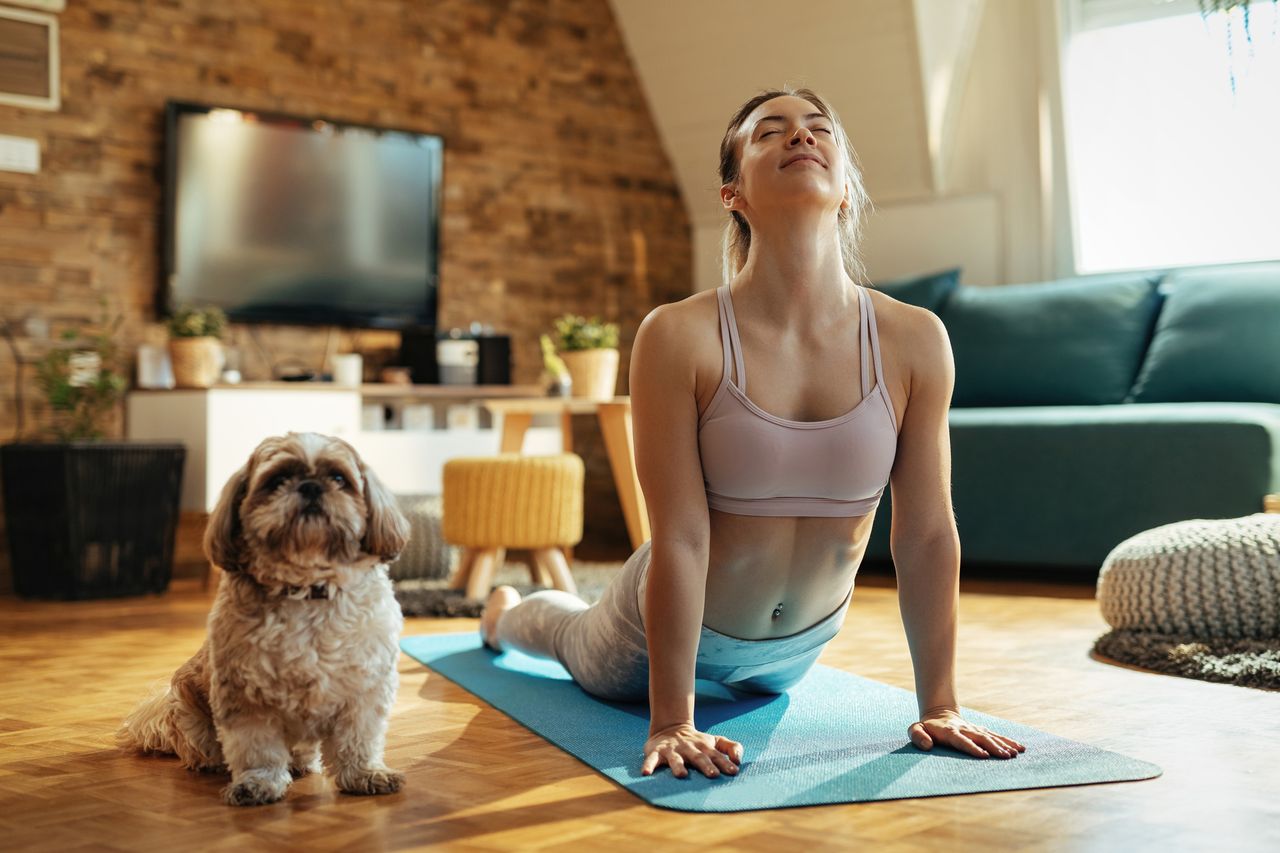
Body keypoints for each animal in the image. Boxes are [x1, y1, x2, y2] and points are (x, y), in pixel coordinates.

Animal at [117, 432, 409, 804]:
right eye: (277, 479)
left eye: (339, 478)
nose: (311, 487)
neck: (307, 588)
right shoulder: (245, 696)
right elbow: (257, 748)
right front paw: (258, 783)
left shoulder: (364, 690)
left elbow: (358, 739)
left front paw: (364, 774)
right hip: (188, 711)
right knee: (205, 748)